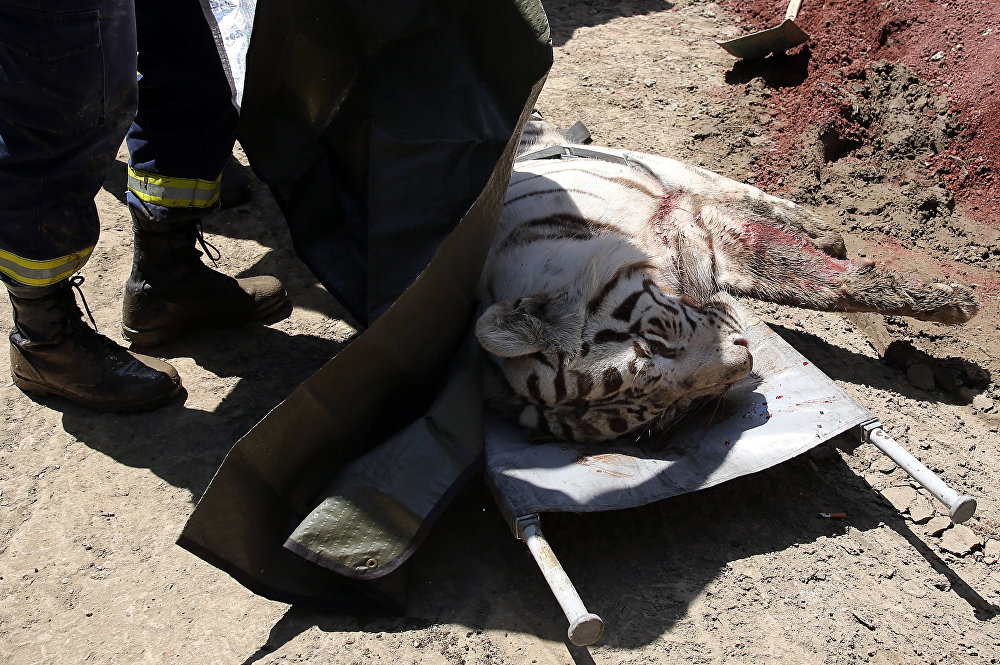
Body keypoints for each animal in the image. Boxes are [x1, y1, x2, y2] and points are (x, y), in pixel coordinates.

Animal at [474, 112, 979, 444]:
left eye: (659, 337)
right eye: (671, 411)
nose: (745, 363)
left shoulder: (692, 222)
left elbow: (814, 278)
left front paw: (949, 303)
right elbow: (795, 277)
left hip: (664, 170)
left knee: (737, 189)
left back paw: (823, 229)